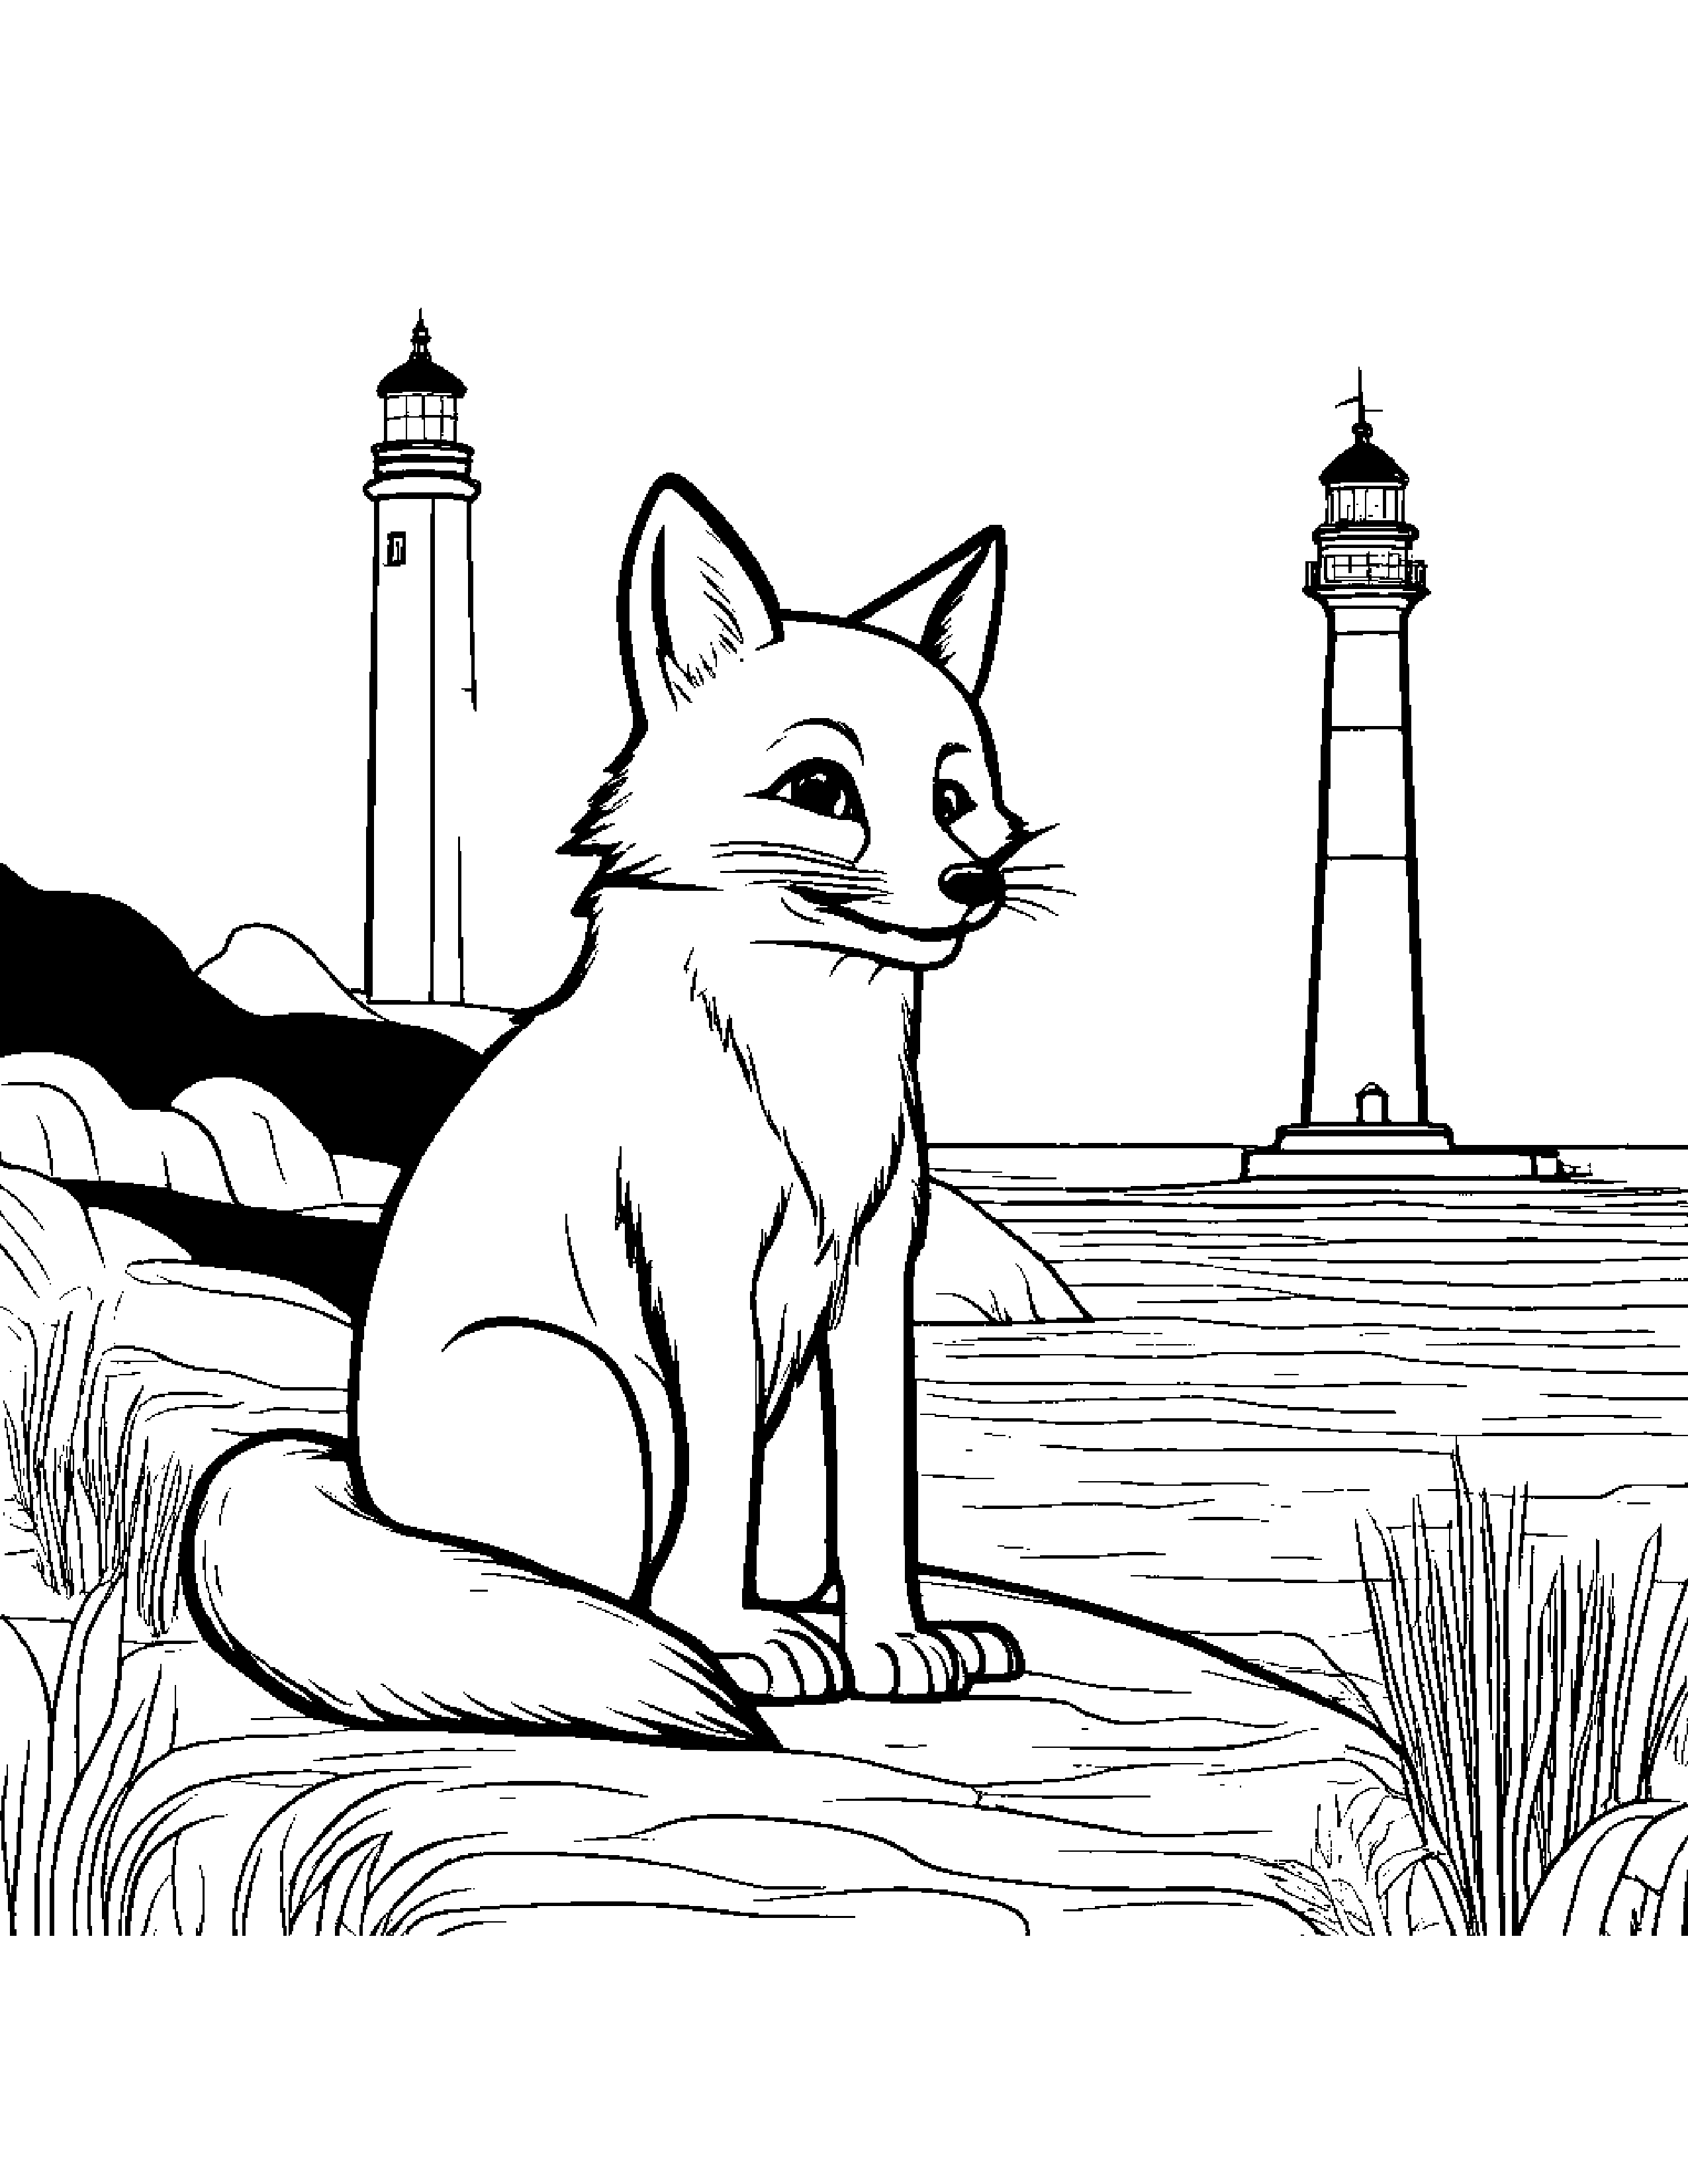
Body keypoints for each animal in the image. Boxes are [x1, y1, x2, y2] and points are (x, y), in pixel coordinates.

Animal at [181, 474, 1035, 1746]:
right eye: (821, 790)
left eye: (954, 798)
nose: (972, 881)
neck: (804, 1057)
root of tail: (355, 1476)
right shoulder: (704, 1276)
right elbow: (715, 1490)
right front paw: (732, 1649)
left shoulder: (876, 1280)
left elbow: (883, 1493)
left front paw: (895, 1642)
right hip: (584, 1390)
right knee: (569, 1588)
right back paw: (690, 1633)